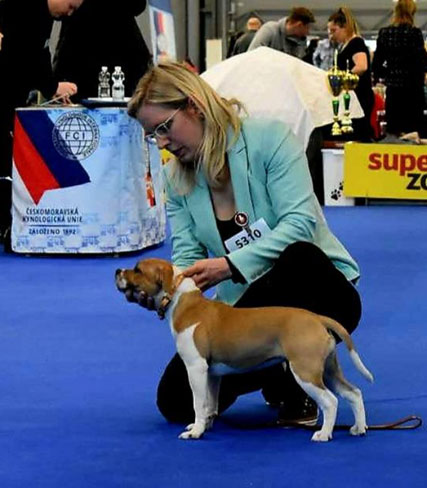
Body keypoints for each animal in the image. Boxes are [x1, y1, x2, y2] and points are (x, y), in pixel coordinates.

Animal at [115, 258, 374, 442]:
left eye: (138, 270)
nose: (117, 270)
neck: (183, 301)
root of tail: (317, 318)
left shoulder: (195, 368)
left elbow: (198, 403)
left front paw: (195, 432)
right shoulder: (211, 374)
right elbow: (210, 403)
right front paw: (206, 425)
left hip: (305, 371)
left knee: (331, 401)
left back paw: (324, 434)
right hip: (328, 370)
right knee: (353, 393)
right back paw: (359, 428)